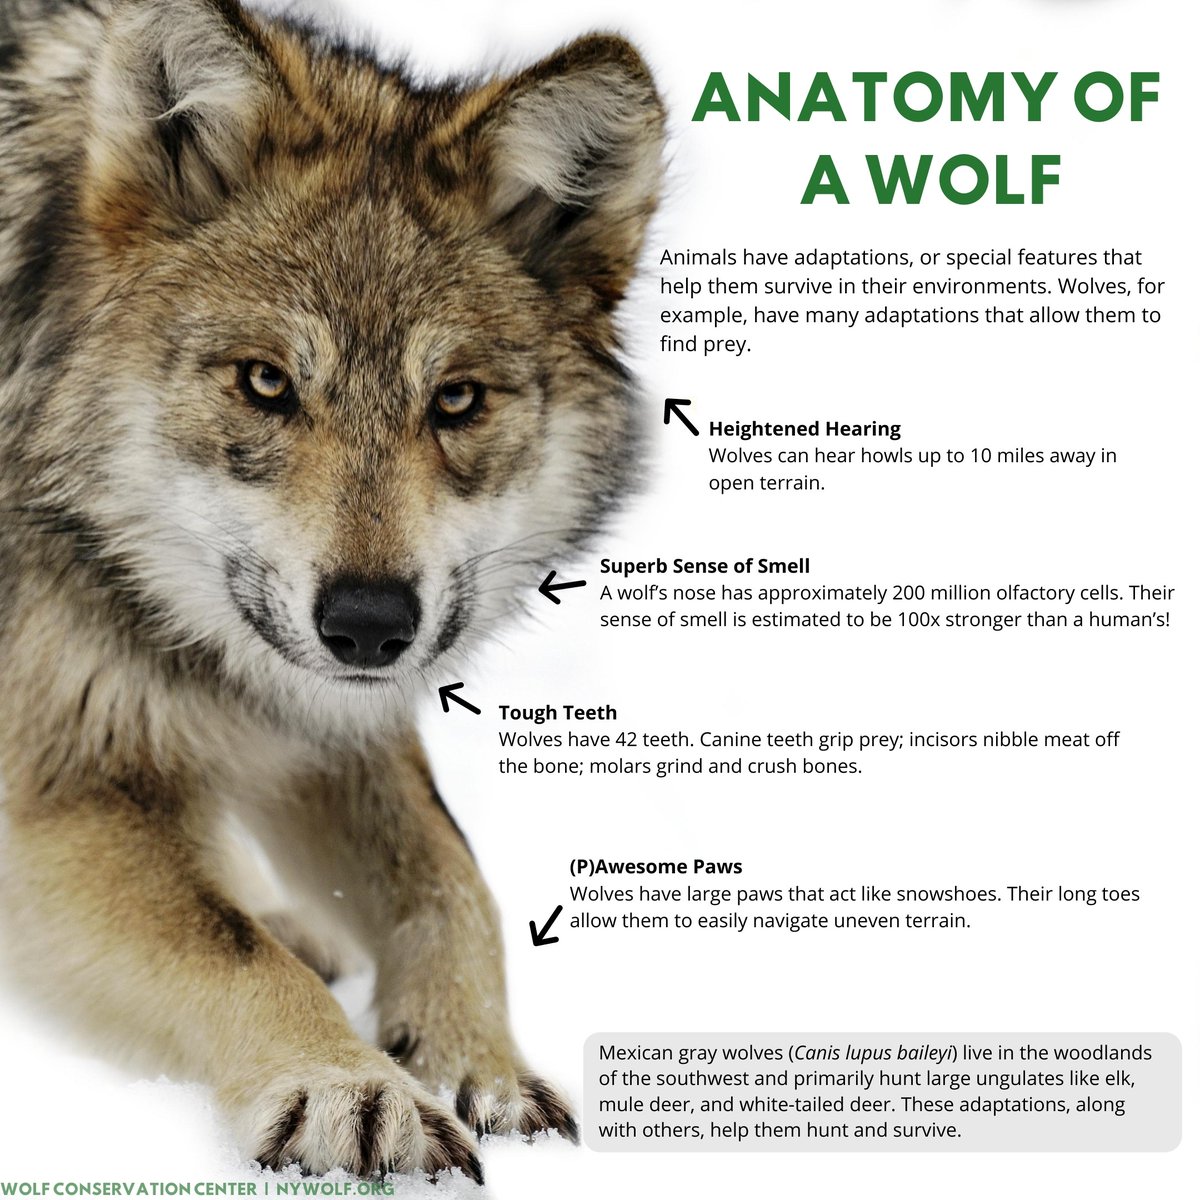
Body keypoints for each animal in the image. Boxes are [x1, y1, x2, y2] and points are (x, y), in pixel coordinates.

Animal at [0, 0, 663, 1181]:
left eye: (456, 400)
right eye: (267, 383)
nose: (368, 625)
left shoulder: (324, 718)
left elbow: (452, 881)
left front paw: (477, 1063)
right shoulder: (58, 790)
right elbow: (226, 947)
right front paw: (346, 1086)